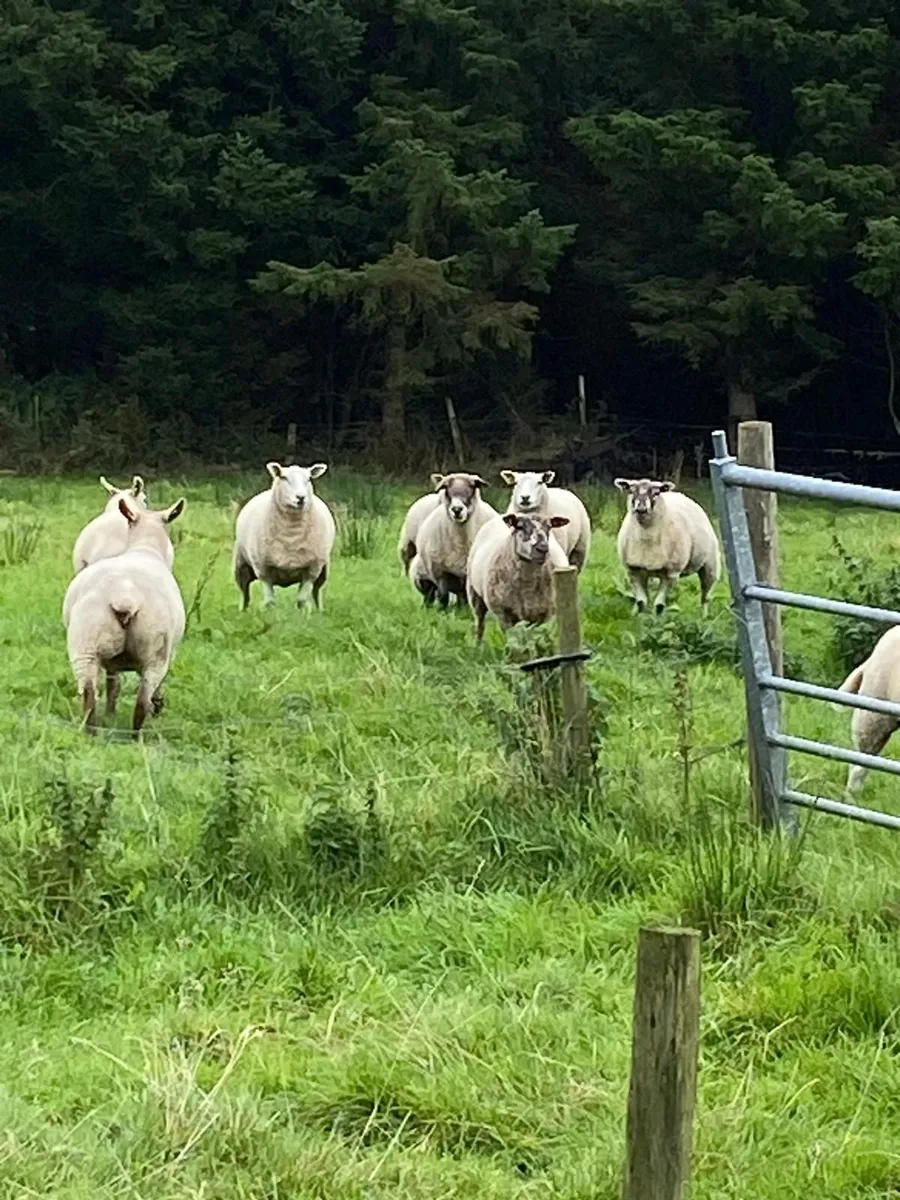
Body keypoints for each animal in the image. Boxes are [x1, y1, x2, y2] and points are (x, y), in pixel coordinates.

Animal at [62, 495, 186, 736]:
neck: (145, 548)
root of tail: (125, 597)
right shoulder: (171, 652)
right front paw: (158, 705)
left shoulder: (111, 661)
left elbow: (113, 684)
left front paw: (111, 712)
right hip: (155, 654)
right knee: (141, 705)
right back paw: (136, 737)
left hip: (85, 645)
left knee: (89, 695)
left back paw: (92, 733)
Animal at [233, 461, 336, 611]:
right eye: (283, 477)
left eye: (308, 479)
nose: (301, 498)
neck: (291, 536)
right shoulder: (263, 568)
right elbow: (270, 601)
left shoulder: (312, 569)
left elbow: (301, 600)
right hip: (241, 564)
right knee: (244, 591)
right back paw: (243, 611)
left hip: (322, 571)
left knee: (316, 592)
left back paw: (319, 611)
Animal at [410, 473, 495, 607]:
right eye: (446, 487)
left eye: (473, 486)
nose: (457, 509)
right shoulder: (440, 572)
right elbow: (443, 596)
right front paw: (441, 610)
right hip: (425, 578)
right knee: (430, 596)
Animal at [467, 512, 570, 640]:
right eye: (520, 527)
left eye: (549, 527)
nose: (542, 549)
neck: (528, 584)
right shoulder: (505, 614)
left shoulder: (546, 614)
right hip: (474, 594)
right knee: (479, 625)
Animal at [614, 478, 720, 615]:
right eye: (631, 491)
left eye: (656, 493)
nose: (641, 509)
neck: (646, 538)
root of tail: (678, 494)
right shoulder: (633, 570)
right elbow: (641, 602)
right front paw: (639, 617)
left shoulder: (671, 573)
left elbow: (659, 605)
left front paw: (657, 619)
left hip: (710, 565)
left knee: (705, 596)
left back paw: (704, 616)